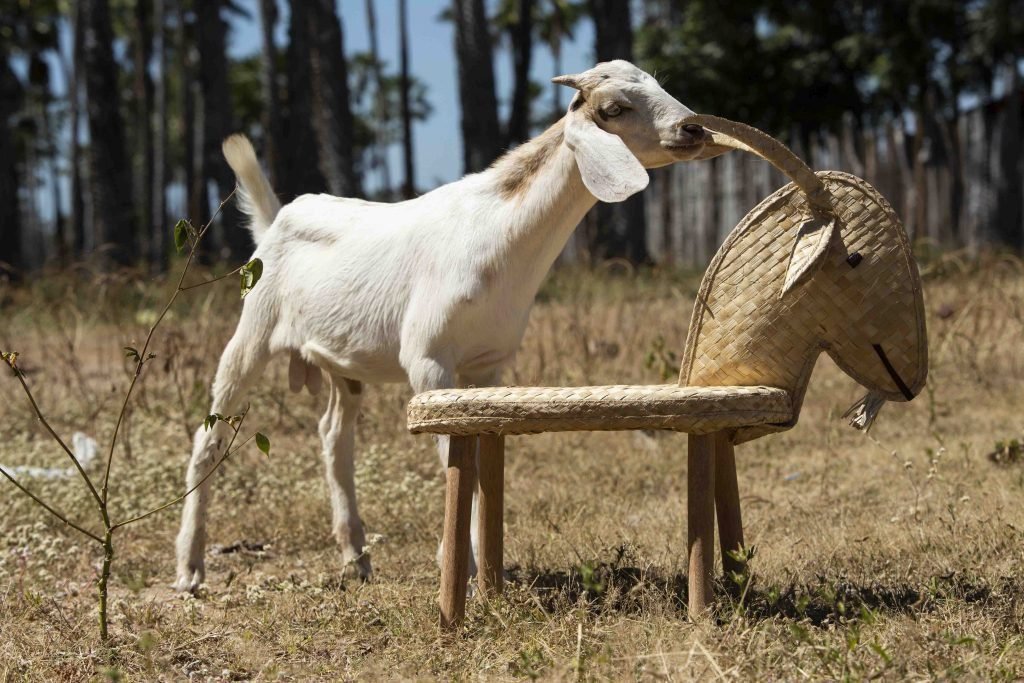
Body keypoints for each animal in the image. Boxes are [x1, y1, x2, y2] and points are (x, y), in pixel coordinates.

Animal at [174, 60, 720, 593]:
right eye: (615, 108)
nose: (693, 128)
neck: (500, 237)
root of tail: (274, 224)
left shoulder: (487, 366)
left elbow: (479, 458)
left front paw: (486, 572)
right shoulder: (429, 362)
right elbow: (456, 459)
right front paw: (467, 568)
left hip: (342, 364)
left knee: (334, 436)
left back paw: (356, 559)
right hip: (253, 330)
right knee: (208, 435)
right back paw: (190, 569)